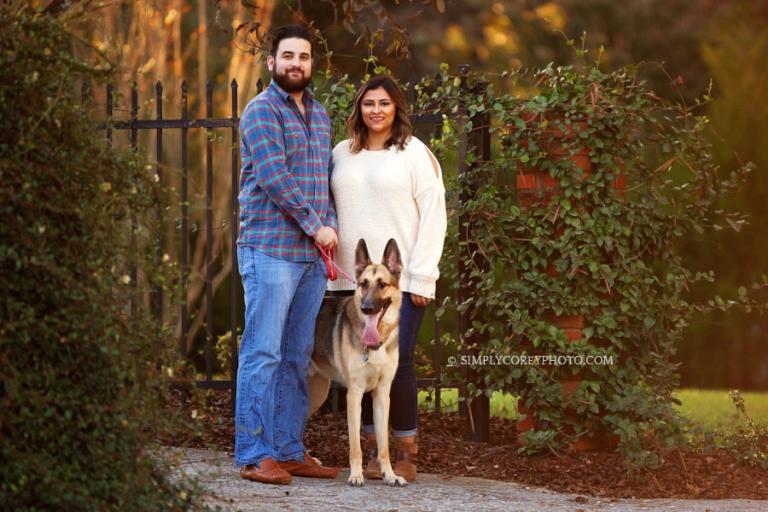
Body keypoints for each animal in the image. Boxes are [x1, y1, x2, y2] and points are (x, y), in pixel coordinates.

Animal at [308, 238, 412, 486]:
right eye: (363, 284)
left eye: (382, 284)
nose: (366, 308)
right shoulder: (354, 394)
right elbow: (355, 445)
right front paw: (356, 474)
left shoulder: (382, 395)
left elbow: (383, 445)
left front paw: (390, 475)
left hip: (317, 394)